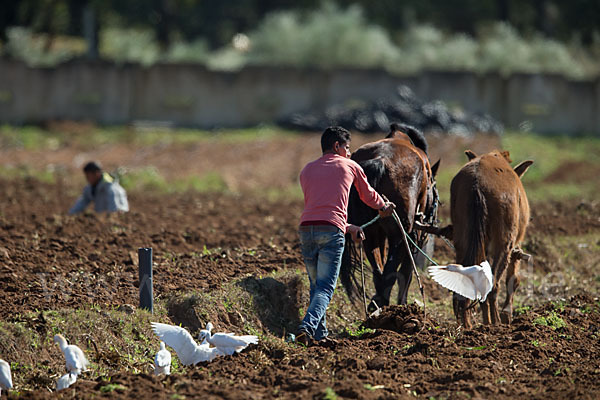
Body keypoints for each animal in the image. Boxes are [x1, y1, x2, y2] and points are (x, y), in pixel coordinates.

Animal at [342, 123, 440, 308]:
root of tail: (380, 160)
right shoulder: (413, 236)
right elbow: (407, 271)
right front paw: (403, 302)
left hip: (369, 232)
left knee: (378, 271)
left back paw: (377, 304)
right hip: (400, 233)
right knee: (391, 270)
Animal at [452, 150, 532, 328]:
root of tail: (477, 183)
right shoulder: (514, 246)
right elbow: (513, 279)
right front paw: (505, 314)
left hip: (462, 241)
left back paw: (468, 324)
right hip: (503, 244)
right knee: (494, 284)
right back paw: (496, 323)